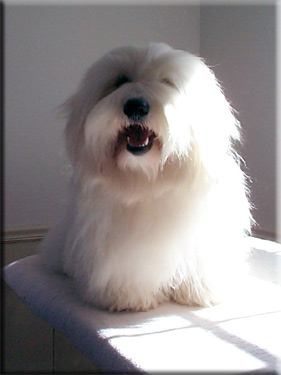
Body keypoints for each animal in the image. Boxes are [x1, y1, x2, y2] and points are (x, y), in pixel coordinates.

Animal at [40, 42, 250, 312]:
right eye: (120, 81)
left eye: (167, 82)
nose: (136, 106)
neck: (146, 178)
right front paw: (125, 297)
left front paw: (199, 291)